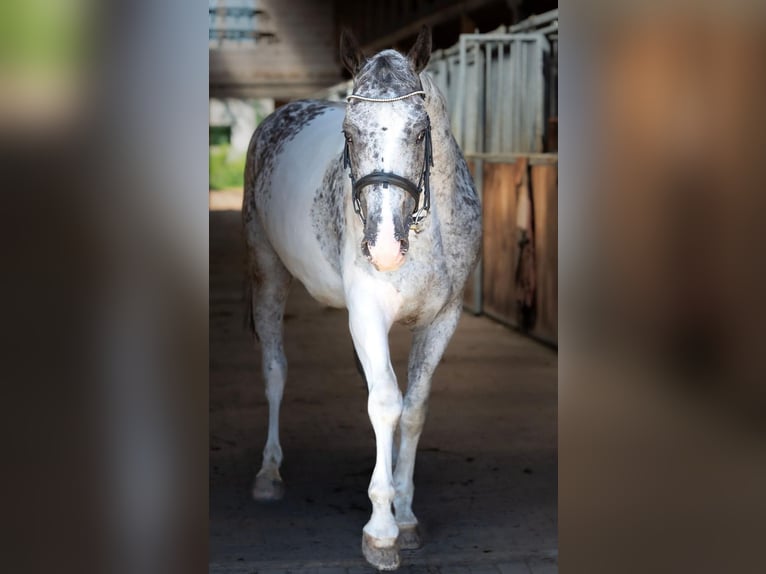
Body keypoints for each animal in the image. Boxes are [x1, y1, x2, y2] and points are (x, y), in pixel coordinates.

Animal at [242, 27, 482, 570]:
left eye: (420, 133)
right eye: (349, 134)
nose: (386, 246)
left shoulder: (444, 318)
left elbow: (411, 408)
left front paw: (405, 514)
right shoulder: (368, 315)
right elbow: (386, 404)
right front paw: (381, 530)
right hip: (268, 274)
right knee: (274, 371)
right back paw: (269, 474)